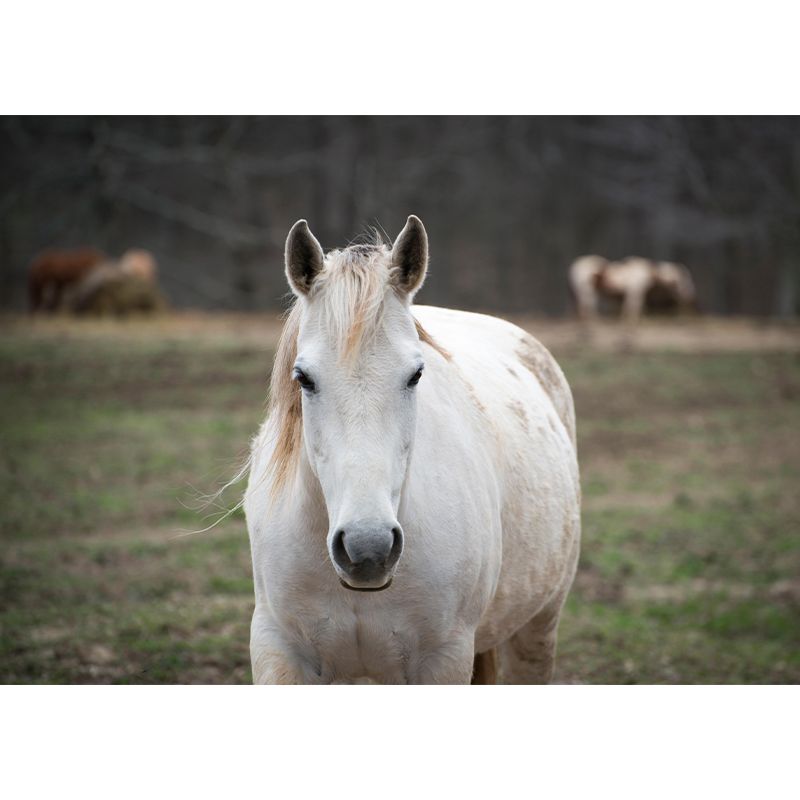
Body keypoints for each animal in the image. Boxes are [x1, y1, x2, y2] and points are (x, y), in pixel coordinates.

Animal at [243, 216, 581, 684]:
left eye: (416, 374)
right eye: (304, 377)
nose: (368, 549)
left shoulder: (445, 658)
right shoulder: (278, 649)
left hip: (537, 629)